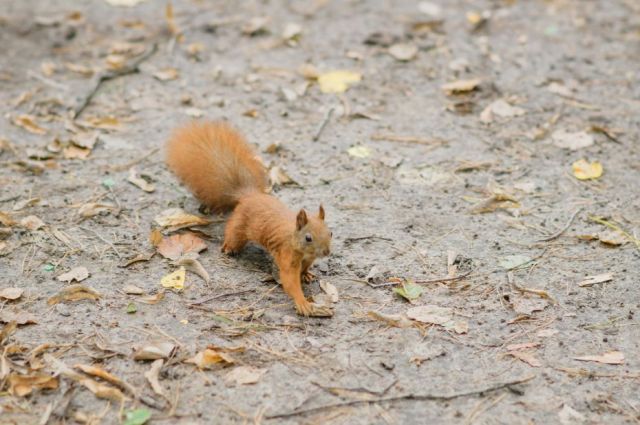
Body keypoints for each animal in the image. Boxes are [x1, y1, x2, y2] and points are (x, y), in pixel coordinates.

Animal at [165, 121, 336, 316]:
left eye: (330, 233)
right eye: (308, 238)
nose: (326, 252)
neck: (297, 242)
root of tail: (248, 195)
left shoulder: (307, 259)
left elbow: (305, 268)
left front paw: (306, 274)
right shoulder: (287, 254)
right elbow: (289, 280)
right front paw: (302, 302)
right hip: (239, 227)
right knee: (232, 235)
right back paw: (228, 249)